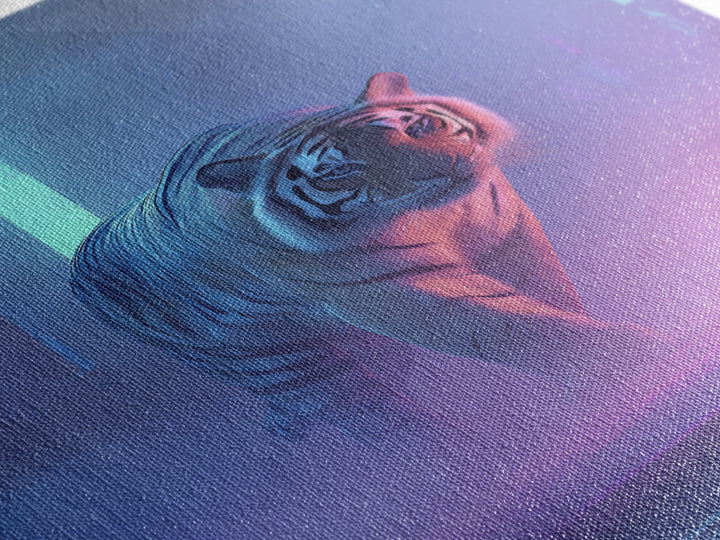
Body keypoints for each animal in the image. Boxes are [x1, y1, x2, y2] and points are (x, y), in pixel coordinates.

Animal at [70, 73, 664, 440]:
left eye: (421, 126)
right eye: (341, 172)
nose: (447, 169)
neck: (449, 215)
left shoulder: (512, 225)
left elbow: (552, 288)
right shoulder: (391, 290)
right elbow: (522, 329)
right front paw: (648, 355)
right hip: (286, 365)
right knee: (372, 416)